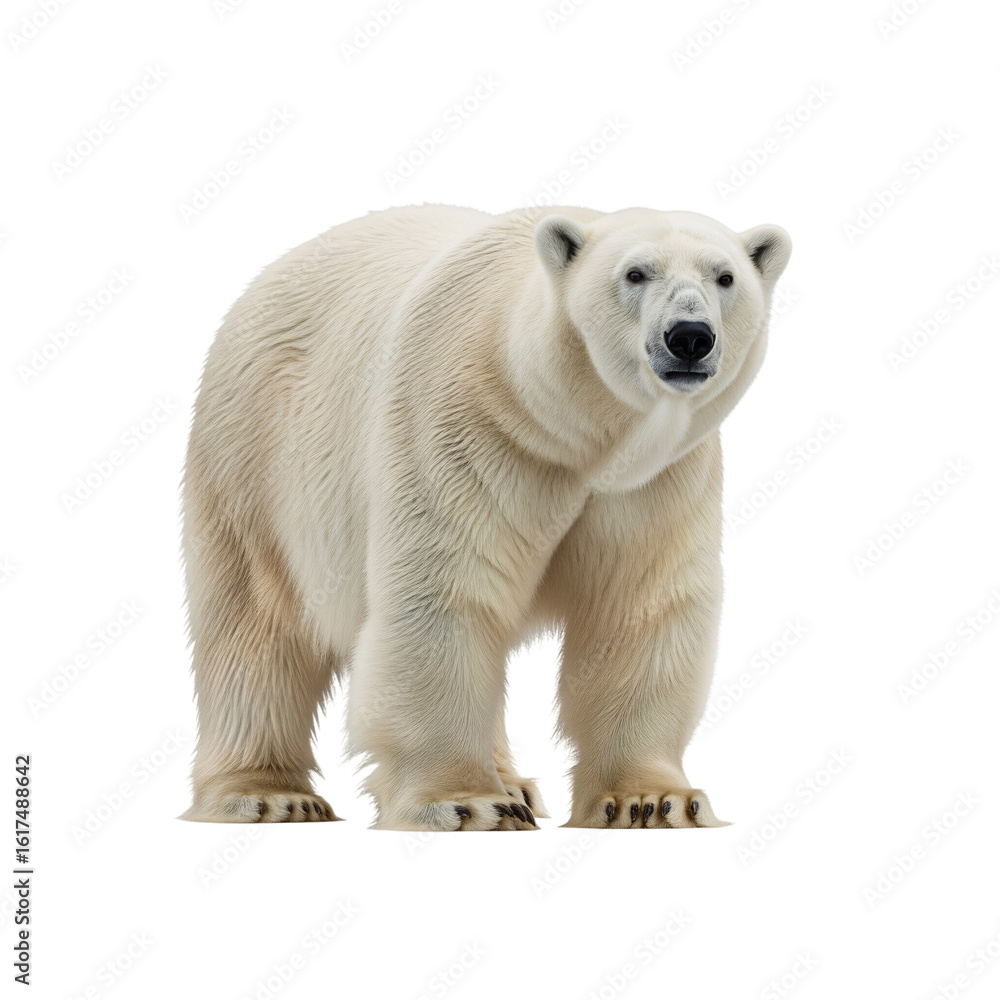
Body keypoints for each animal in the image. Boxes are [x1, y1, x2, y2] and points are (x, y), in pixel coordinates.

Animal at [180, 204, 791, 830]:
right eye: (635, 273)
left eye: (725, 277)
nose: (690, 336)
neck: (572, 428)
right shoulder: (466, 426)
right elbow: (446, 591)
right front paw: (463, 801)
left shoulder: (655, 480)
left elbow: (638, 606)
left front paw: (652, 800)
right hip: (258, 452)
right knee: (256, 614)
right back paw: (269, 794)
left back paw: (516, 785)